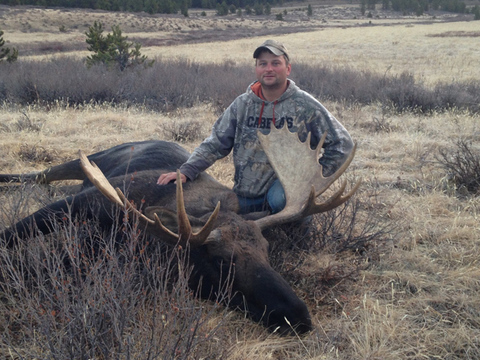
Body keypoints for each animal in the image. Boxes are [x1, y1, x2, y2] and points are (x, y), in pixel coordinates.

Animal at [0, 126, 358, 334]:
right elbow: (15, 232)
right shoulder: (86, 201)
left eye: (267, 251)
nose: (299, 315)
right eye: (221, 261)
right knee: (41, 174)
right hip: (87, 160)